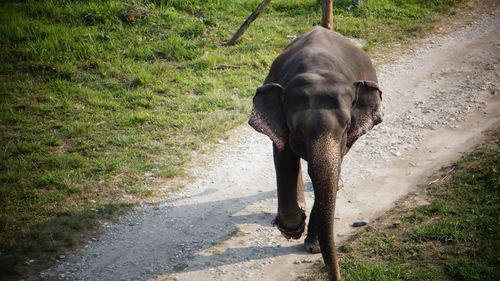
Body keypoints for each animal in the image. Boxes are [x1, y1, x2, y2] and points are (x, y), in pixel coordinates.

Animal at [247, 25, 382, 278]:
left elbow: (331, 173)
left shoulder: (346, 140)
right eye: (298, 130)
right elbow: (283, 156)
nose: (337, 275)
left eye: (346, 127)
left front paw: (313, 246)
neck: (318, 70)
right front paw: (292, 229)